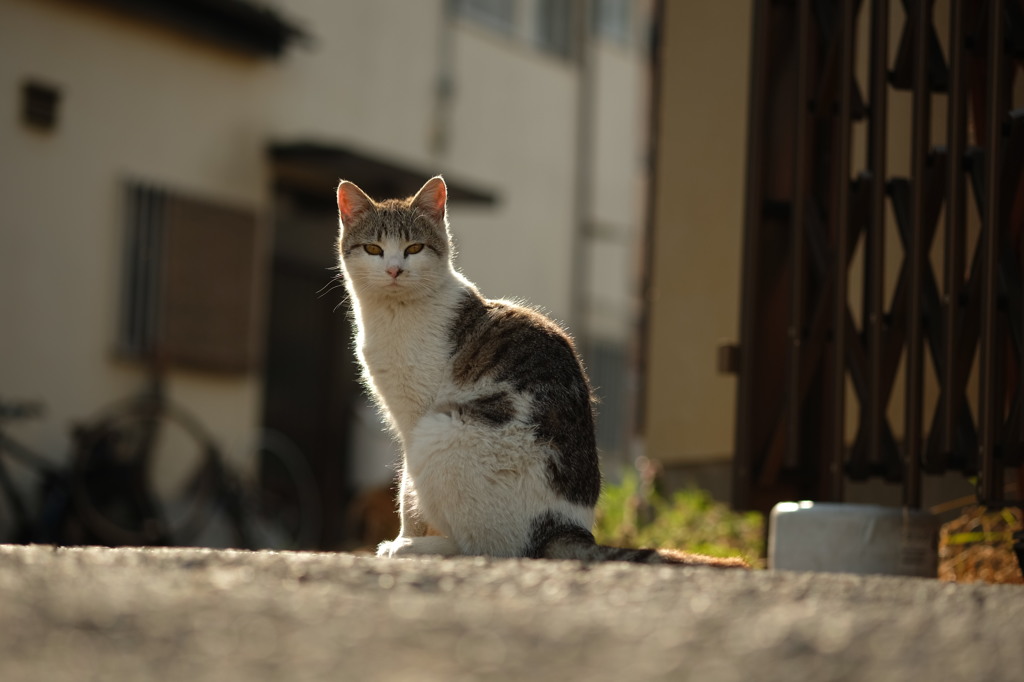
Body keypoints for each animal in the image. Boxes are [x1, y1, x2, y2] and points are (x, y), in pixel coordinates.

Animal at [339, 173, 749, 565]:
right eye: (374, 249)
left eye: (414, 248)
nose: (394, 270)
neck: (394, 314)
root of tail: (565, 528)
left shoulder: (414, 418)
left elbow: (407, 492)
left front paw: (406, 538)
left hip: (440, 433)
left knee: (490, 548)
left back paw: (419, 548)